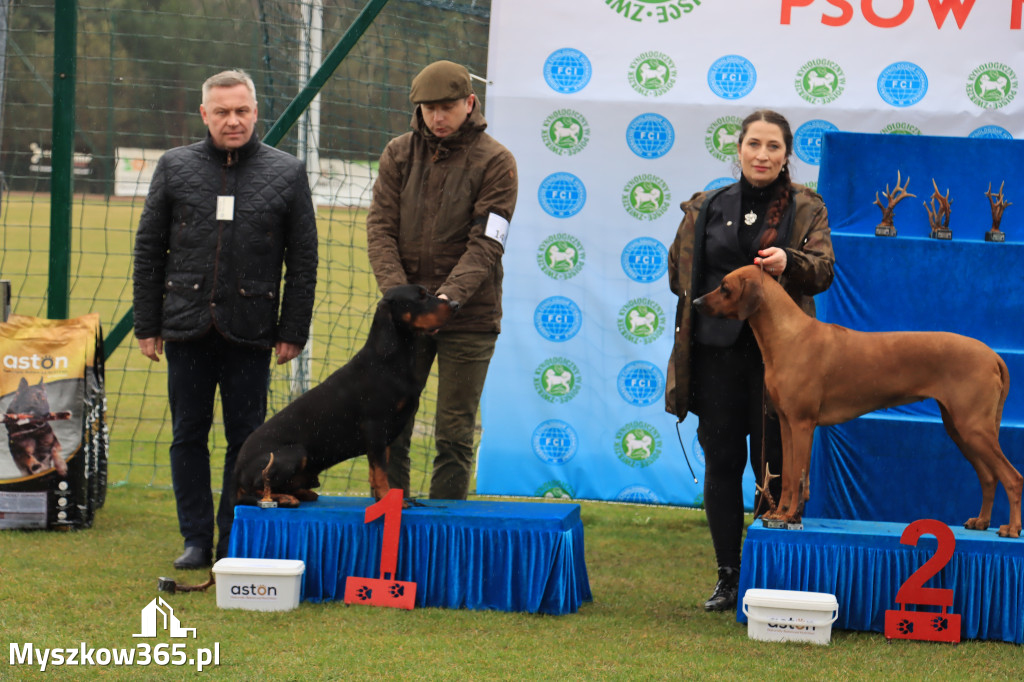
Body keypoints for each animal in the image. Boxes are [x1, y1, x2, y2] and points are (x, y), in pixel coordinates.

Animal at [235, 282, 456, 503]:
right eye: (421, 297)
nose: (456, 304)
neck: (388, 361)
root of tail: (238, 470)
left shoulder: (384, 435)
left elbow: (376, 470)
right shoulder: (375, 426)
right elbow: (380, 470)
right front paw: (387, 498)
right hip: (294, 452)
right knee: (254, 490)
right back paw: (283, 498)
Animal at [692, 262, 1019, 532]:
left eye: (725, 287)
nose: (695, 302)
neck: (788, 335)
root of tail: (992, 355)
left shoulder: (802, 423)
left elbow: (797, 475)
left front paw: (789, 515)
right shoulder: (785, 422)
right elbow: (787, 474)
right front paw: (781, 514)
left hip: (973, 427)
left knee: (1013, 477)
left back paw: (1011, 529)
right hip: (960, 429)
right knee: (989, 477)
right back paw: (982, 521)